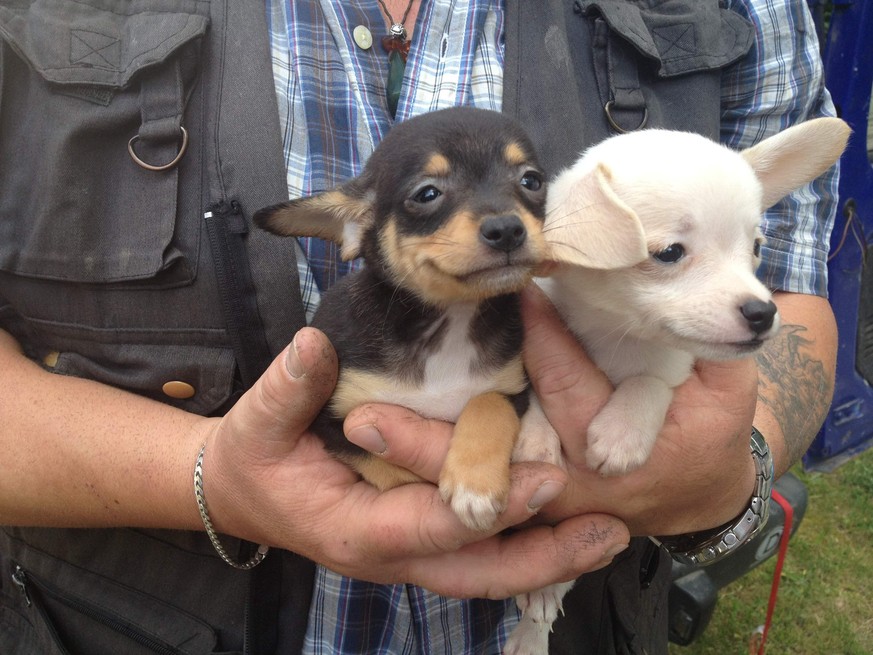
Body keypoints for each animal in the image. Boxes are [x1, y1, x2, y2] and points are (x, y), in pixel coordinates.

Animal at [252, 106, 548, 528]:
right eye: (427, 194)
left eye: (532, 181)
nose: (507, 228)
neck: (450, 319)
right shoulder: (333, 419)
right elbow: (392, 473)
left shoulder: (511, 388)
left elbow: (488, 402)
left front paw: (474, 484)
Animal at [508, 118, 848, 655]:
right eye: (669, 253)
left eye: (756, 249)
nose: (763, 311)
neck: (616, 337)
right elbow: (534, 393)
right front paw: (537, 437)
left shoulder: (672, 368)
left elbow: (649, 382)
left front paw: (622, 431)